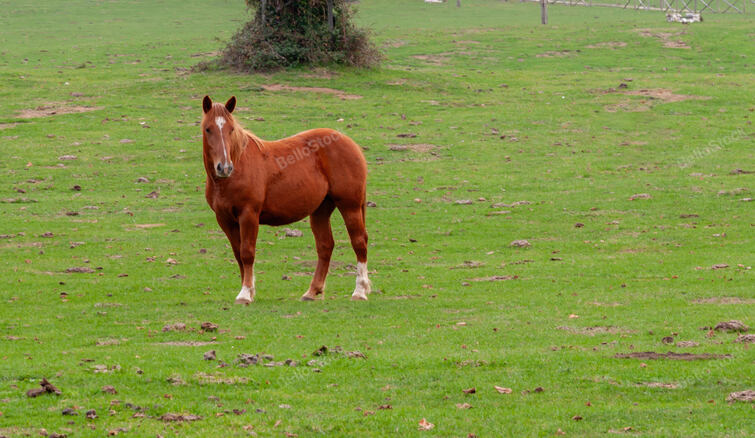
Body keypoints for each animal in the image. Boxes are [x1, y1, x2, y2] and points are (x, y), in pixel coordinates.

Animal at [200, 95, 371, 304]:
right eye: (208, 129)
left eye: (231, 129)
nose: (224, 167)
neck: (237, 169)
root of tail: (350, 143)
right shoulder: (225, 220)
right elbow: (238, 254)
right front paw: (247, 290)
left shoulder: (249, 215)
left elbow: (247, 253)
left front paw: (246, 293)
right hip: (321, 210)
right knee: (325, 246)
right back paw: (312, 291)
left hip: (350, 206)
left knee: (359, 242)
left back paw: (360, 291)